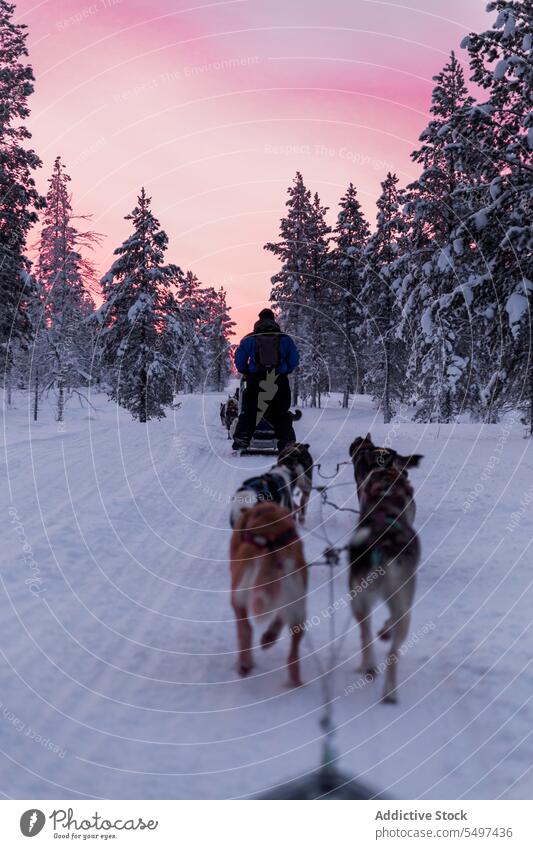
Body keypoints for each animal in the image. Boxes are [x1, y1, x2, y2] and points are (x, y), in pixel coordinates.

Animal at [230, 500, 308, 684]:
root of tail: (270, 543)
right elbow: (279, 618)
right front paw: (269, 636)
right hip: (298, 606)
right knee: (293, 652)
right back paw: (295, 682)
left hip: (238, 597)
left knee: (246, 630)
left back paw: (245, 663)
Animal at [348, 430, 422, 704]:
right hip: (403, 607)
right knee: (391, 649)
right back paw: (388, 691)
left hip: (360, 601)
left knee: (366, 635)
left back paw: (369, 667)